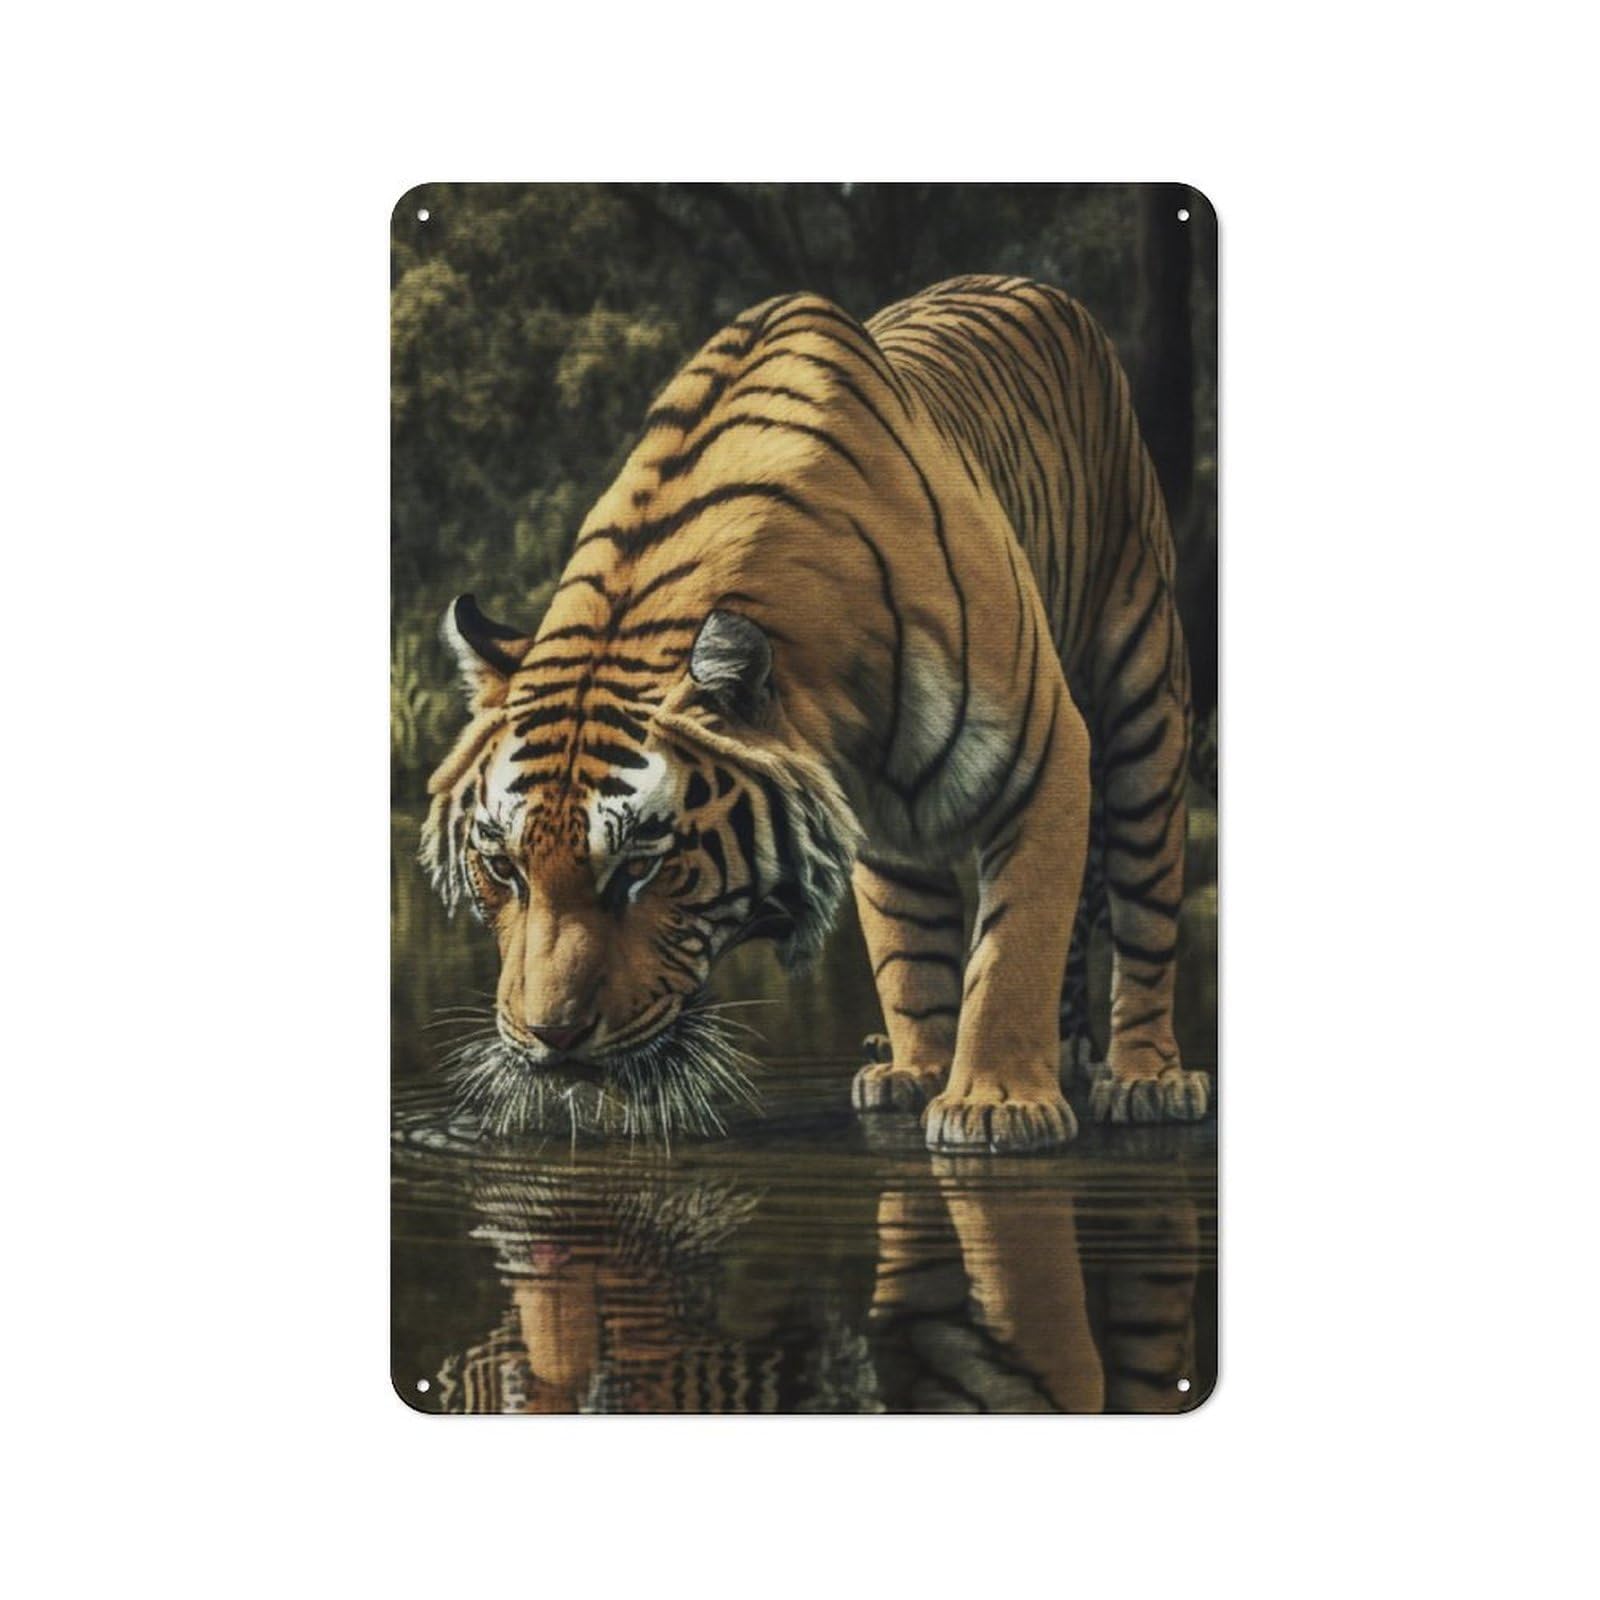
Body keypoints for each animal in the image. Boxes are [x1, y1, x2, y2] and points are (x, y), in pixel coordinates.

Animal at [421, 274, 1211, 1152]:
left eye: (640, 868)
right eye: (503, 868)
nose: (552, 1039)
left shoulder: (1045, 753)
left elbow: (1016, 943)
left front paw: (995, 1103)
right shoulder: (878, 814)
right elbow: (907, 949)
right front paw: (930, 1073)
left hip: (1142, 690)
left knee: (1145, 904)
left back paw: (1147, 1079)